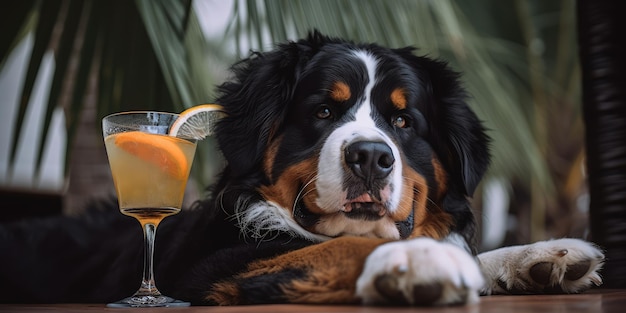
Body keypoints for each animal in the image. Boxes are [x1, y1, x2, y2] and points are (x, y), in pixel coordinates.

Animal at [1, 31, 604, 304]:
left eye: (403, 121)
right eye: (323, 112)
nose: (371, 157)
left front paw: (541, 256)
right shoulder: (213, 272)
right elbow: (343, 245)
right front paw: (417, 263)